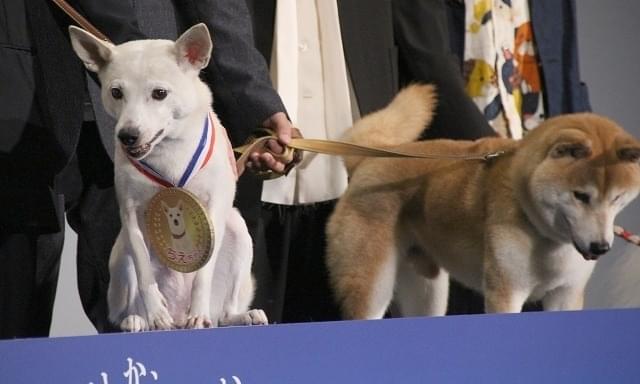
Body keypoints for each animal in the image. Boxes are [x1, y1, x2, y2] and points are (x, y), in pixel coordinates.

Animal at [70, 23, 268, 330]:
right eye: (116, 92)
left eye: (160, 93)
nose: (127, 136)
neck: (167, 152)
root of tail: (178, 314)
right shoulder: (130, 213)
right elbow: (144, 273)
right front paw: (155, 314)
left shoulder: (215, 208)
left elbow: (203, 273)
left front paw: (198, 313)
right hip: (121, 254)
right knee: (125, 307)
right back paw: (138, 320)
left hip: (238, 231)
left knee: (224, 314)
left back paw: (239, 316)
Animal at [328, 85, 640, 320]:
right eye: (581, 195)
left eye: (617, 198)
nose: (600, 247)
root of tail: (371, 157)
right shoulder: (506, 293)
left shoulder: (565, 294)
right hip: (372, 285)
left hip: (428, 288)